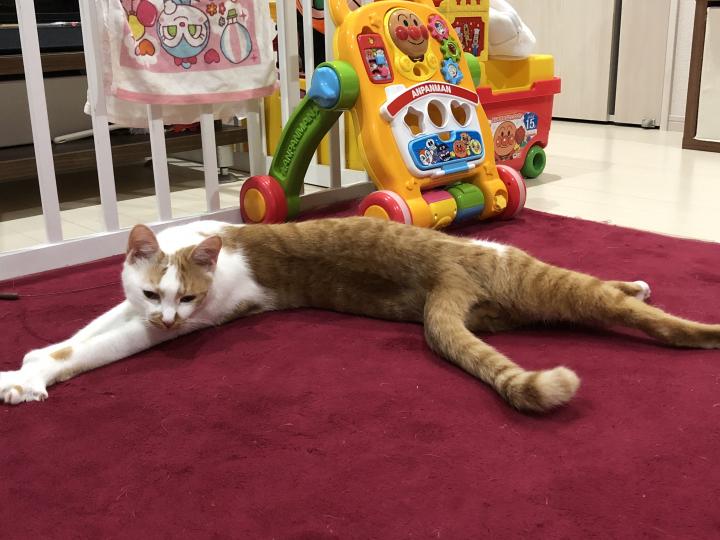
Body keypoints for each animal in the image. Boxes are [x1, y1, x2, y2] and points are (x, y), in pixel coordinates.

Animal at [2, 217, 719, 412]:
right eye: (155, 294)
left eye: (190, 298)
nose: (169, 322)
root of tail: (442, 278)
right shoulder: (125, 311)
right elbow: (72, 342)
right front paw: (27, 368)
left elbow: (84, 349)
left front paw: (27, 377)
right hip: (522, 297)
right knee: (610, 303)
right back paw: (647, 294)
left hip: (522, 268)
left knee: (628, 308)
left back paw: (671, 308)